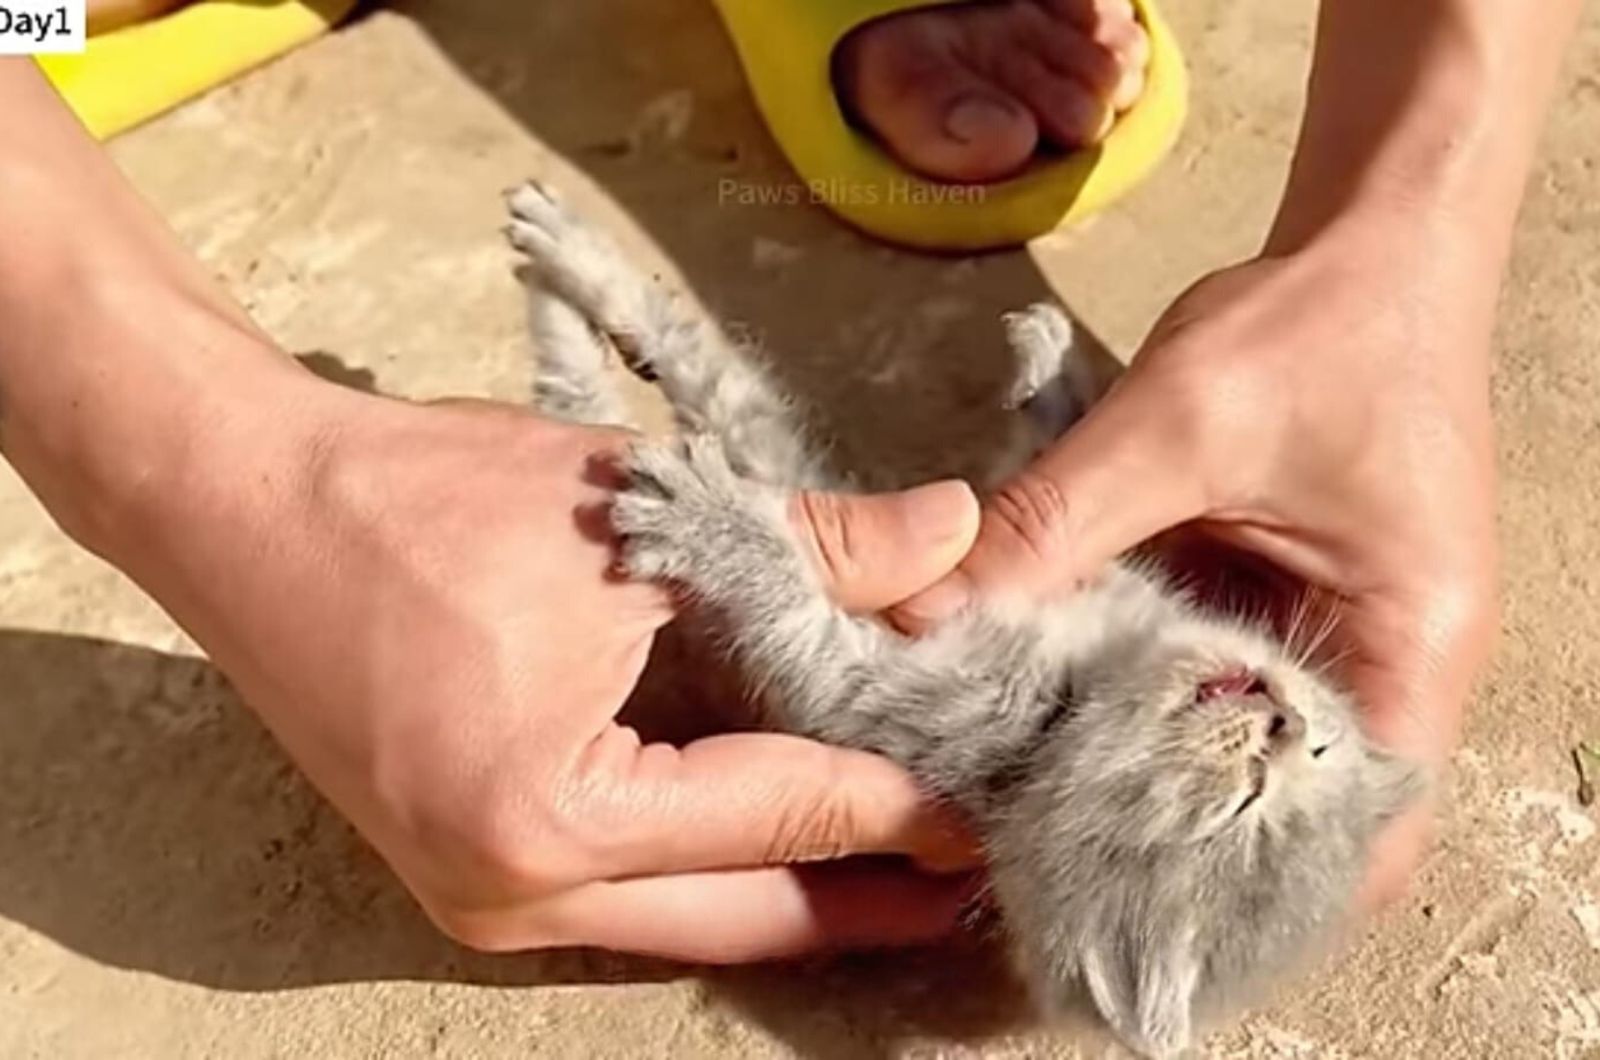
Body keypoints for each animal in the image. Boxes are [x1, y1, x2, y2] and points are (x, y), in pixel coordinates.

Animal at [502, 178, 1427, 1056]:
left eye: (1245, 803)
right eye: (1315, 750)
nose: (1282, 719)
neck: (1088, 678)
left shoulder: (884, 696)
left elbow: (783, 580)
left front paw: (713, 524)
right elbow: (713, 373)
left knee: (578, 408)